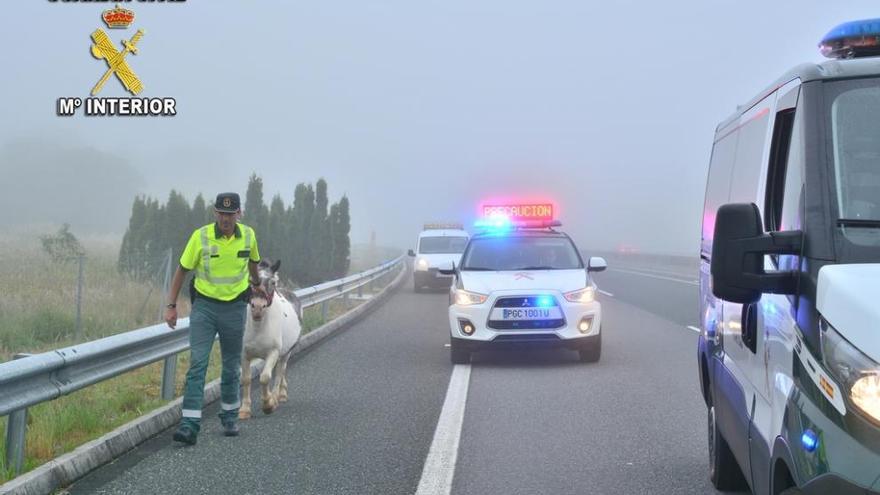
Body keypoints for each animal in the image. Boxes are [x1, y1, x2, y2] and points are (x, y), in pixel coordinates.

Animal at [241, 260, 302, 418]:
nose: (257, 307)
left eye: (273, 282)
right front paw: (244, 409)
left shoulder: (273, 352)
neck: (259, 328)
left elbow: (265, 377)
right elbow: (246, 379)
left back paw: (277, 397)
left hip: (286, 352)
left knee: (280, 371)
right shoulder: (244, 354)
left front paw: (268, 404)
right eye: (249, 280)